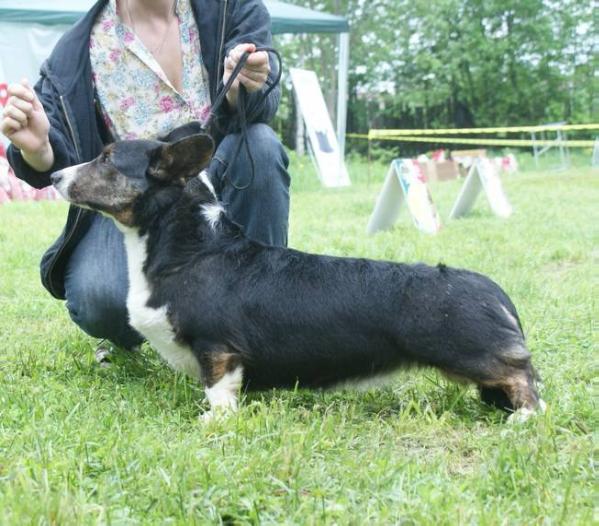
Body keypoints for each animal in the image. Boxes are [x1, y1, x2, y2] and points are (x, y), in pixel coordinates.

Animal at [54, 122, 548, 420]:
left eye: (107, 159)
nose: (55, 177)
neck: (189, 248)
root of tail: (494, 291)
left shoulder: (218, 346)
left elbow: (218, 388)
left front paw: (214, 420)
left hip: (469, 353)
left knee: (522, 374)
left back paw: (524, 418)